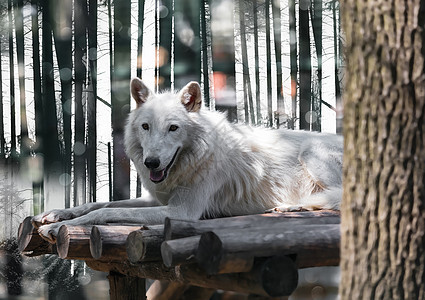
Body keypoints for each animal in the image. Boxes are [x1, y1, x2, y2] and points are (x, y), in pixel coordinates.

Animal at [34, 78, 342, 243]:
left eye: (173, 128)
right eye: (146, 127)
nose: (151, 163)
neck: (192, 159)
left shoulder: (182, 210)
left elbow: (104, 212)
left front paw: (57, 227)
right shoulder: (156, 198)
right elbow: (100, 203)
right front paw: (57, 214)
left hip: (311, 152)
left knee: (339, 197)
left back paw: (293, 204)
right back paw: (292, 206)